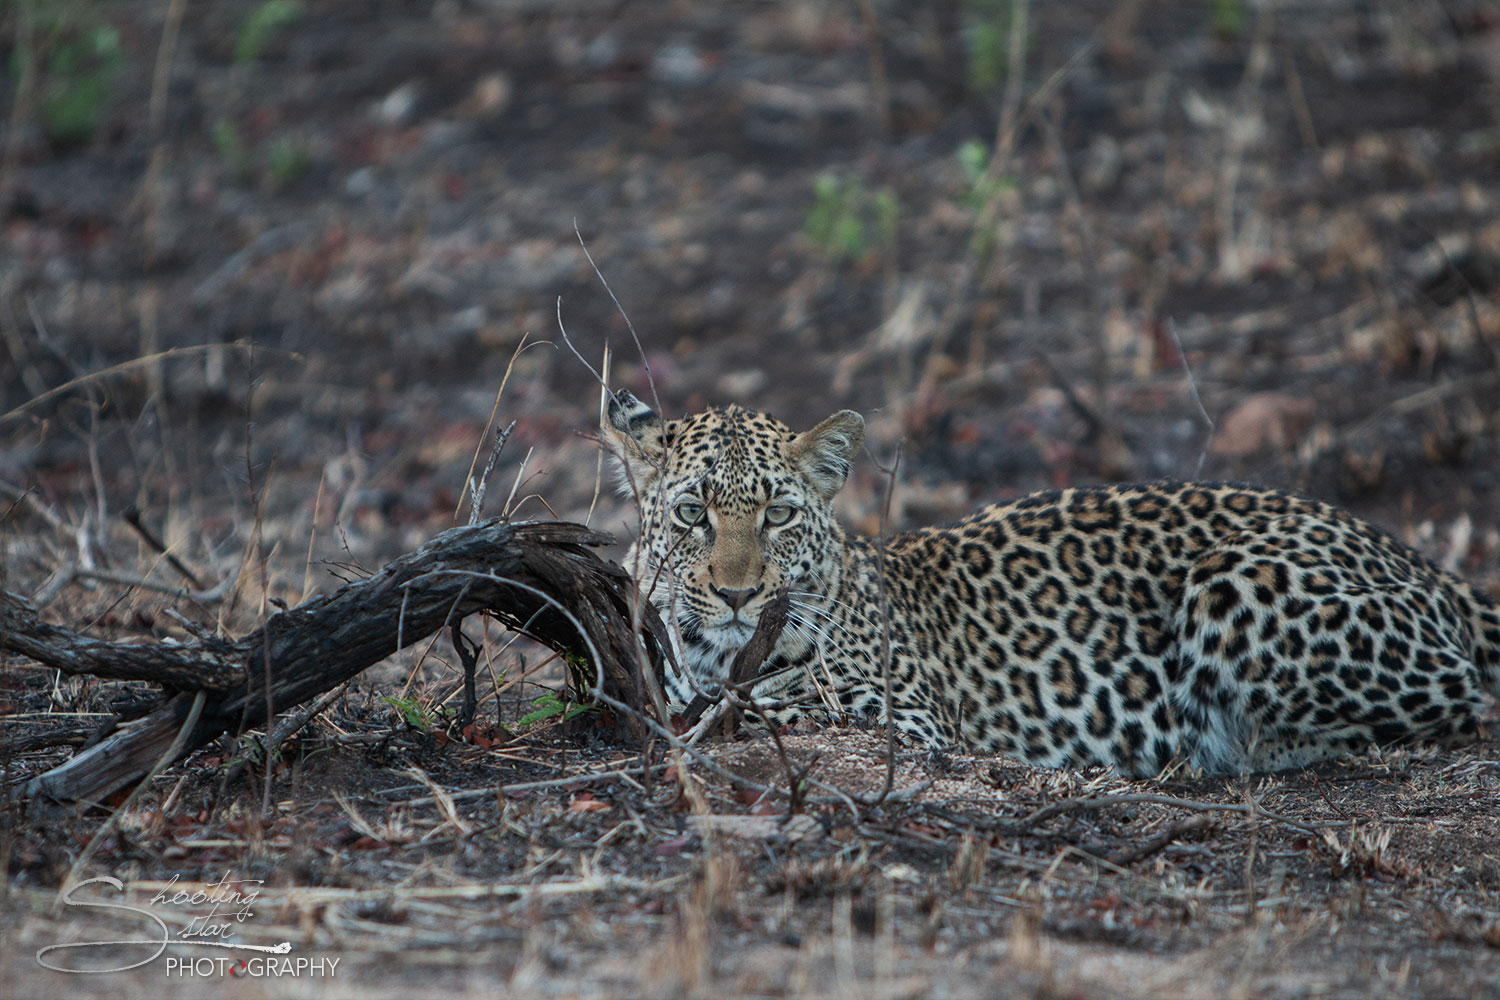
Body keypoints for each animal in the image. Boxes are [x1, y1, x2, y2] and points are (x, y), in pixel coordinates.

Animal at [602, 390, 1500, 777]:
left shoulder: (906, 717)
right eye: (692, 514)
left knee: (1461, 705)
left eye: (780, 515)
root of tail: (1416, 559)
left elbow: (769, 706)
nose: (737, 596)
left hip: (1235, 580)